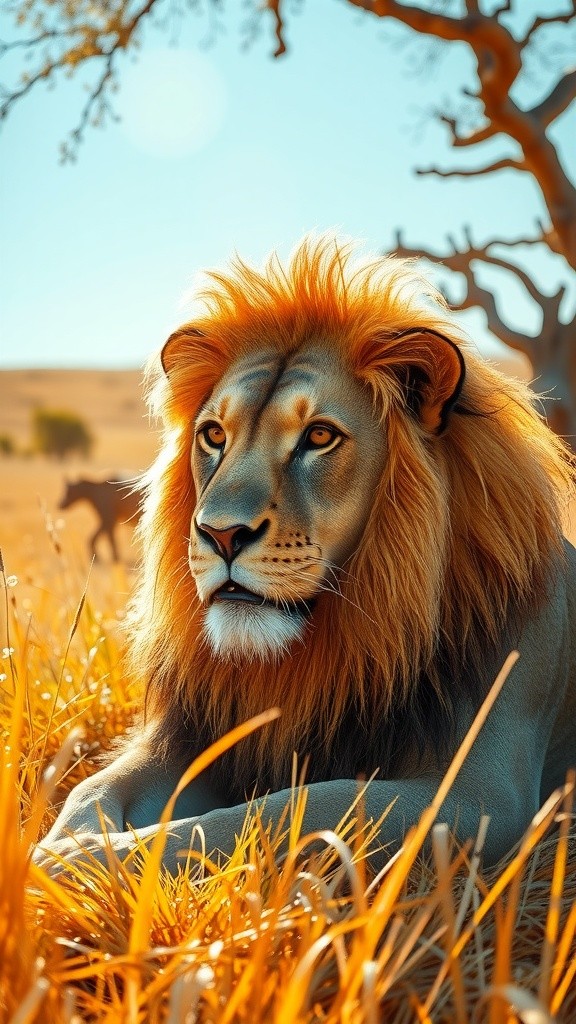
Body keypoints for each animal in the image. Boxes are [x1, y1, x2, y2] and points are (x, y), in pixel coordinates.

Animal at [37, 236, 576, 872]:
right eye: (214, 435)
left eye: (319, 436)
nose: (219, 534)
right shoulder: (196, 739)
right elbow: (89, 789)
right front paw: (55, 850)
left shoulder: (481, 796)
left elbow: (274, 812)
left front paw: (78, 865)